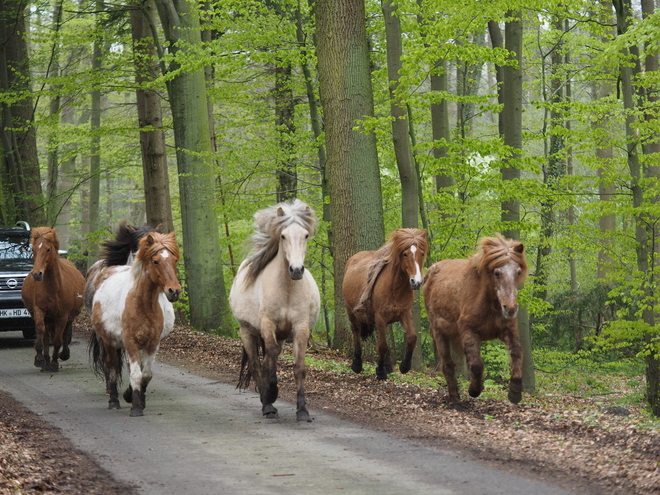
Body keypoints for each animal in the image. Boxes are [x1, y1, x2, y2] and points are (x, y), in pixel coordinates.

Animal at [21, 229, 86, 372]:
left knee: (65, 333)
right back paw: (45, 361)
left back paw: (63, 355)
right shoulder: (39, 310)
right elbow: (41, 331)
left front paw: (54, 363)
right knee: (46, 335)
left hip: (69, 316)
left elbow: (57, 340)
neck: (53, 287)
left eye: (48, 249)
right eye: (33, 249)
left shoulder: (62, 316)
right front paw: (39, 358)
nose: (36, 274)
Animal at [87, 233, 182, 418]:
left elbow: (145, 374)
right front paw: (136, 407)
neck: (142, 304)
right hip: (108, 341)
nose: (174, 291)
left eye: (174, 260)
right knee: (112, 368)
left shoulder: (152, 343)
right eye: (155, 261)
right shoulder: (130, 342)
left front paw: (134, 397)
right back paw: (114, 401)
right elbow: (136, 374)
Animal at [231, 201, 320, 422]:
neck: (286, 289)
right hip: (247, 332)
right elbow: (268, 358)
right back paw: (267, 404)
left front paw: (302, 410)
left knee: (268, 360)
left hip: (280, 336)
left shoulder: (300, 328)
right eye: (283, 236)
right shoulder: (267, 325)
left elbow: (298, 367)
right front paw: (271, 394)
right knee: (256, 365)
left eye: (306, 235)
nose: (296, 270)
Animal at [340, 227, 428, 382]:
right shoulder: (380, 317)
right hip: (351, 311)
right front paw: (380, 372)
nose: (416, 282)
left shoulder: (404, 313)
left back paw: (387, 365)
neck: (395, 289)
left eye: (422, 254)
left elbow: (412, 338)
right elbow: (382, 345)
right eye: (405, 254)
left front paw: (404, 366)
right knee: (356, 331)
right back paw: (357, 364)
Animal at [422, 234, 532, 408]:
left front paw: (515, 392)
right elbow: (477, 365)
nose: (510, 309)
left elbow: (516, 353)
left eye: (518, 272)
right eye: (496, 273)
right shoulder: (469, 331)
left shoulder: (508, 330)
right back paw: (455, 399)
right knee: (448, 365)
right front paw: (474, 390)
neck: (489, 303)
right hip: (439, 332)